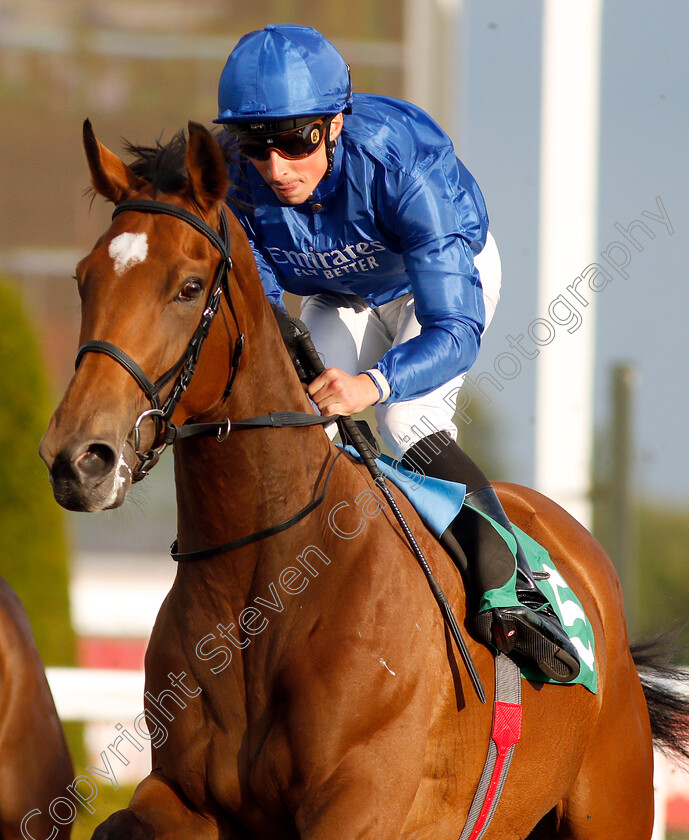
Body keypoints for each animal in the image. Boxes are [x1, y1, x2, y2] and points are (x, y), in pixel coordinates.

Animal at [41, 120, 688, 840]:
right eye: (84, 279)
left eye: (186, 287)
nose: (80, 458)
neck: (265, 579)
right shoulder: (184, 796)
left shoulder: (360, 803)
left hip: (610, 803)